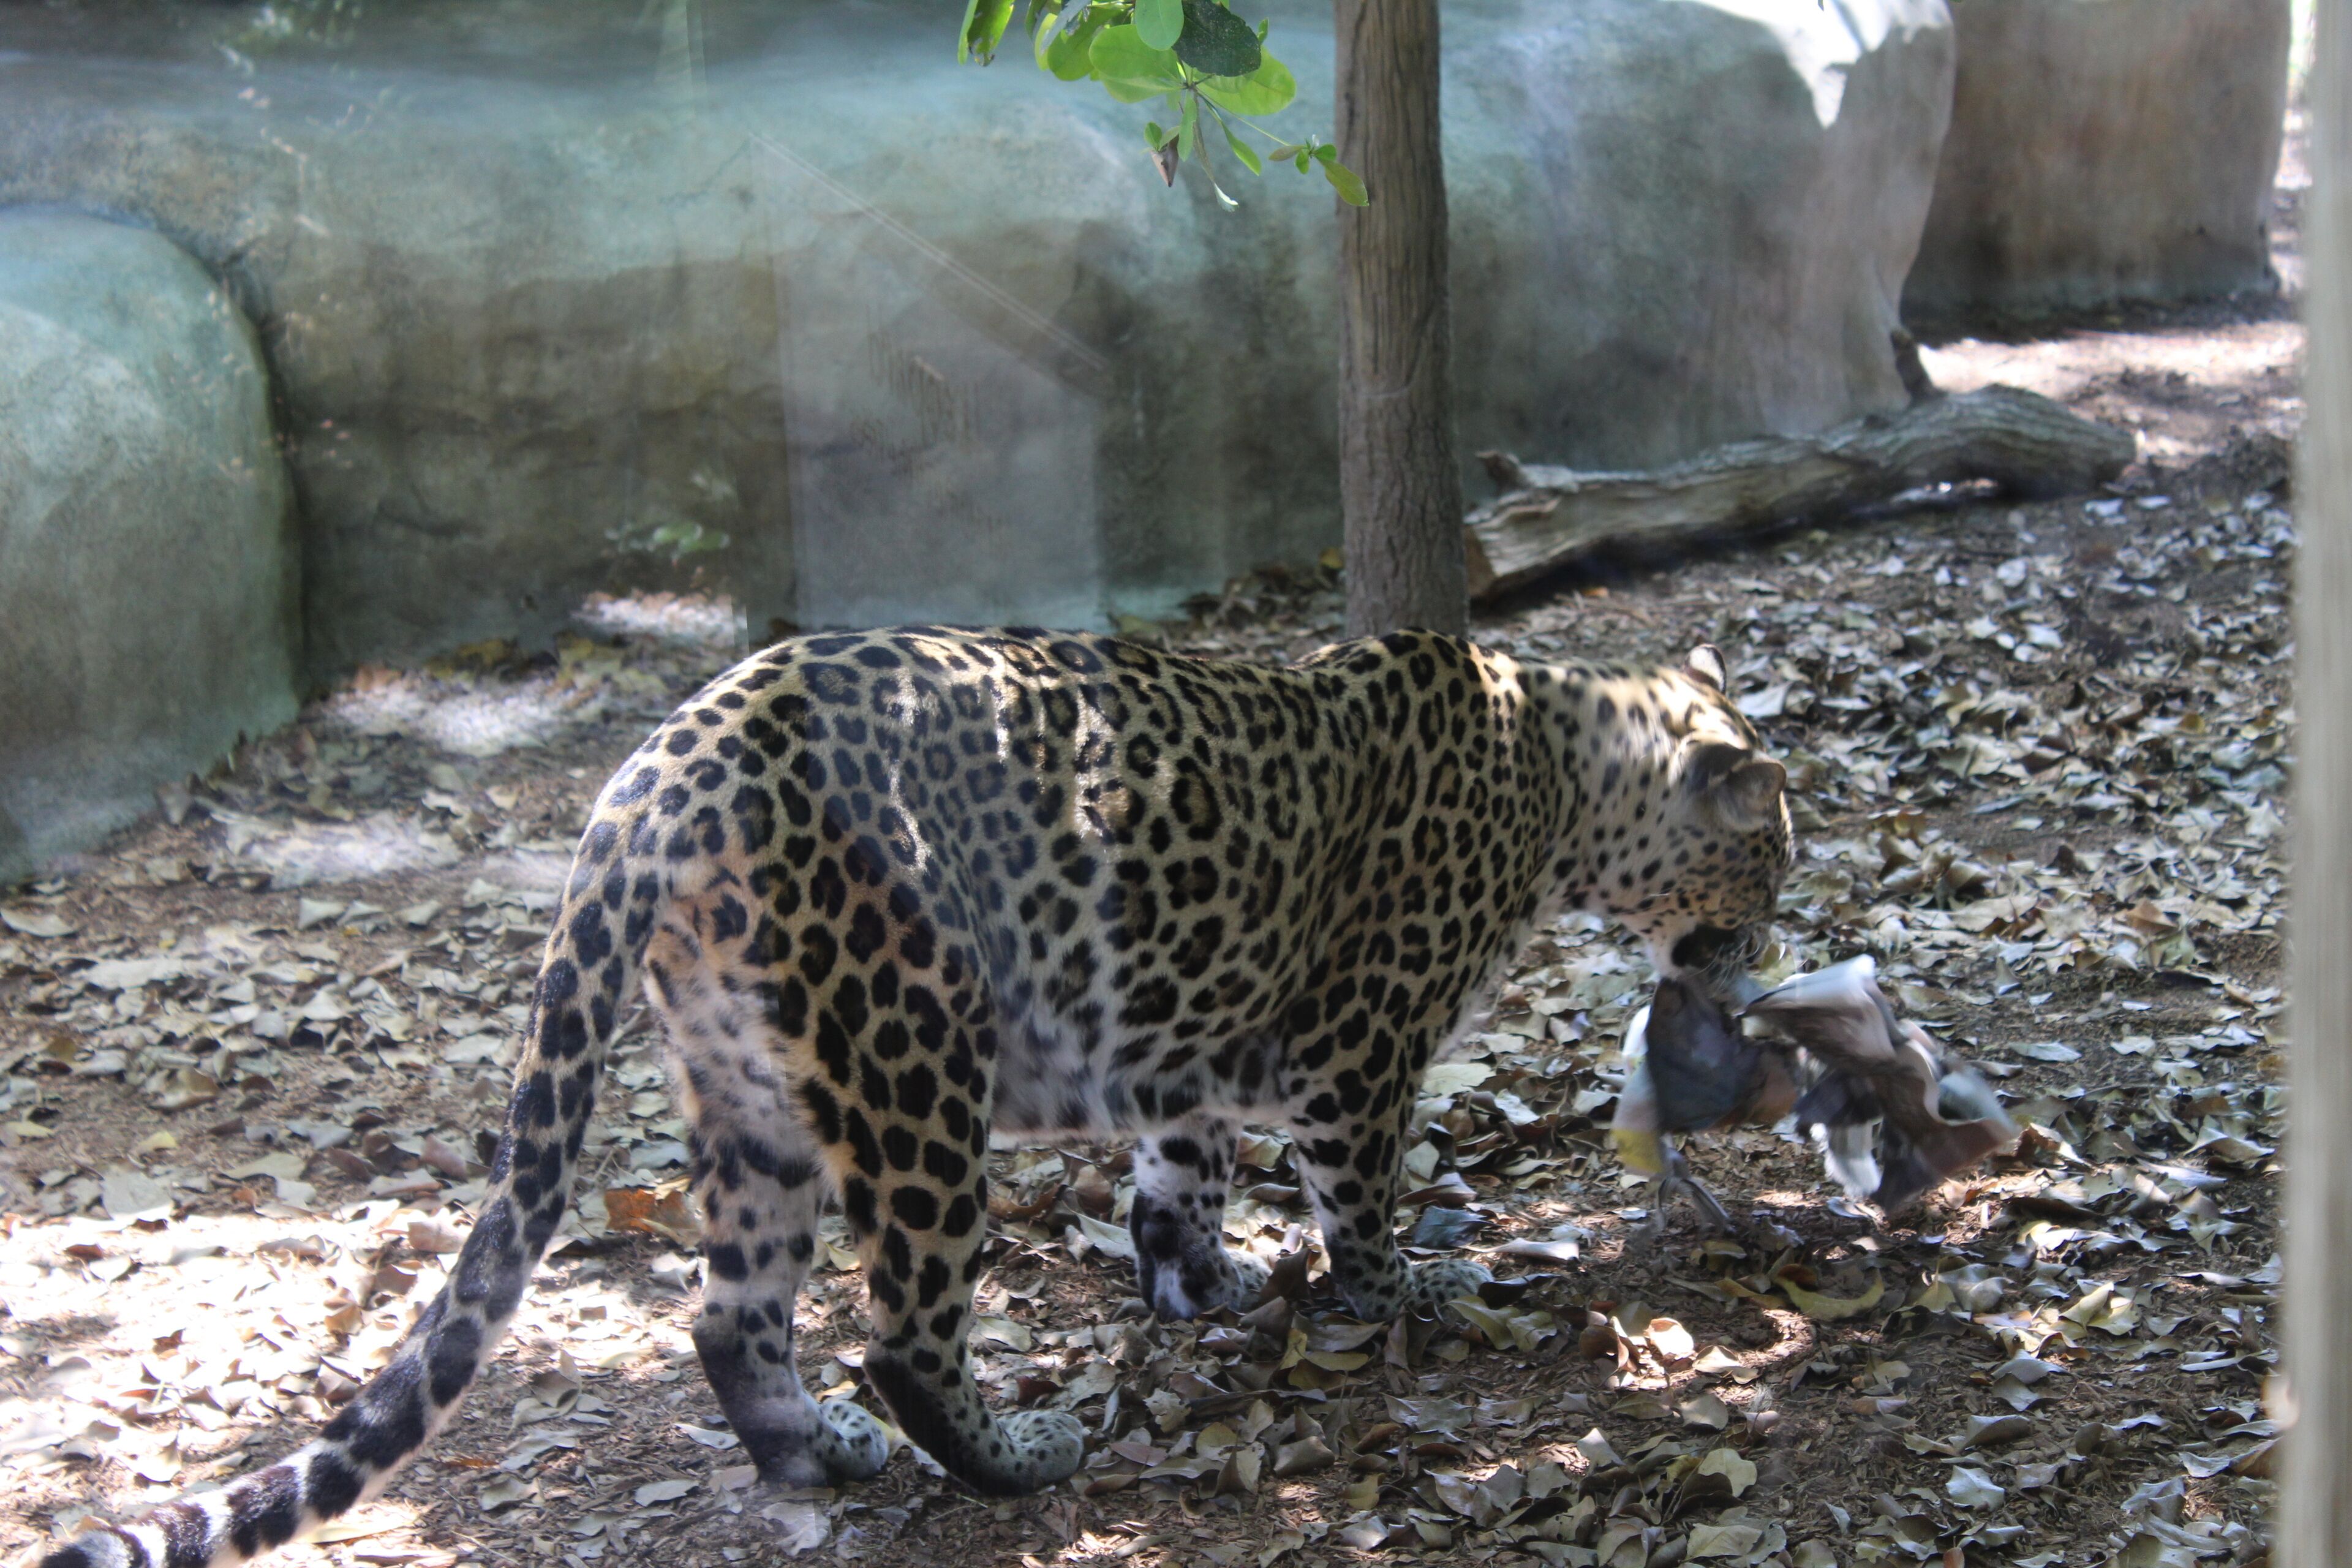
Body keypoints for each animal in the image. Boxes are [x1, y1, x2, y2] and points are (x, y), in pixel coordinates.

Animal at [40, 625, 1791, 1568]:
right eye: (1769, 851)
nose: (1775, 934)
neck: (1560, 769)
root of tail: (657, 771)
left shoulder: (1188, 1039)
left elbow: (1181, 1168)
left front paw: (1200, 1282)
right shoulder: (1362, 1041)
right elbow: (1355, 1192)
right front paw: (1418, 1283)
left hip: (747, 1095)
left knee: (729, 1308)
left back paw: (817, 1451)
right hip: (914, 1063)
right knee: (902, 1329)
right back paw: (1019, 1452)